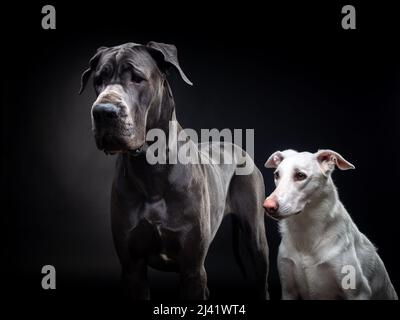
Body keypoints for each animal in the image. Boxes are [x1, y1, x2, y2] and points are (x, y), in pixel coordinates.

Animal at [264, 150, 398, 300]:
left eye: (300, 175)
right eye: (277, 175)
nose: (267, 206)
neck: (306, 228)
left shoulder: (358, 291)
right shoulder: (288, 290)